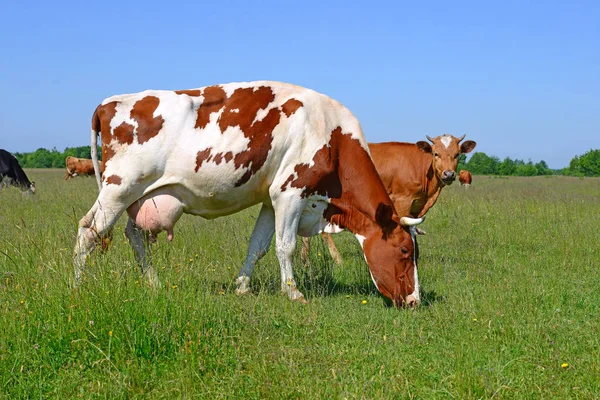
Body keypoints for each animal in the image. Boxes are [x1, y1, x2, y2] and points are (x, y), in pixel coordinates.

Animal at [74, 80, 422, 306]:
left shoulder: (272, 198)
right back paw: (77, 287)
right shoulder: (290, 192)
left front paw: (242, 286)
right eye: (405, 251)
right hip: (119, 188)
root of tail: (109, 102)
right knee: (89, 231)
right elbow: (286, 246)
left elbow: (259, 246)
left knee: (134, 236)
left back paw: (154, 283)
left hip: (140, 197)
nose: (414, 300)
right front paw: (293, 291)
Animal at [304, 134, 478, 262]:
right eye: (436, 154)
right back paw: (336, 259)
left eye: (457, 155)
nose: (449, 174)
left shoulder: (416, 206)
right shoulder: (402, 202)